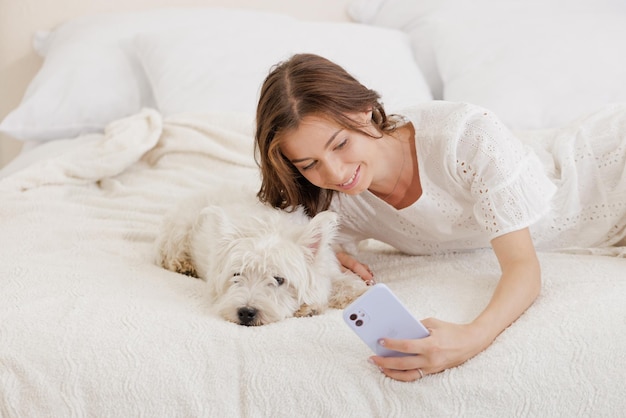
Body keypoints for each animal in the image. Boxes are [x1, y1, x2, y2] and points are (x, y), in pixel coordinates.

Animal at [153, 186, 366, 326]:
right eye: (237, 275)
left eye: (279, 279)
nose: (246, 313)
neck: (269, 229)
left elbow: (343, 282)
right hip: (181, 228)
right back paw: (184, 265)